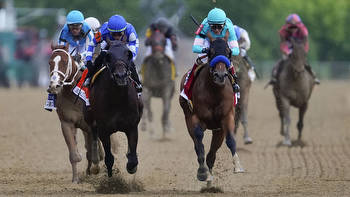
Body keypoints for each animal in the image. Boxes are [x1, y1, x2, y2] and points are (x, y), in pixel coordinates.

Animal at [46, 44, 102, 183]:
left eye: (65, 62)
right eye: (50, 62)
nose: (54, 85)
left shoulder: (92, 125)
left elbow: (94, 151)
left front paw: (96, 167)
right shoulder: (67, 123)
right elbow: (74, 154)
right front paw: (75, 179)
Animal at [85, 40, 143, 176]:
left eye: (128, 54)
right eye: (108, 56)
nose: (120, 76)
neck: (117, 100)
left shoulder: (132, 127)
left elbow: (133, 159)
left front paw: (131, 166)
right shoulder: (104, 129)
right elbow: (109, 158)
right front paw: (110, 174)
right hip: (89, 117)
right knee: (93, 135)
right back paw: (94, 164)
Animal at [180, 35, 243, 186]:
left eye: (228, 52)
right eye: (211, 52)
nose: (220, 75)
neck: (214, 91)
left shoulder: (226, 117)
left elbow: (230, 140)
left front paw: (237, 166)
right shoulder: (195, 118)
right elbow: (199, 142)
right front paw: (203, 173)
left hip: (218, 130)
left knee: (213, 152)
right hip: (188, 118)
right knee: (198, 144)